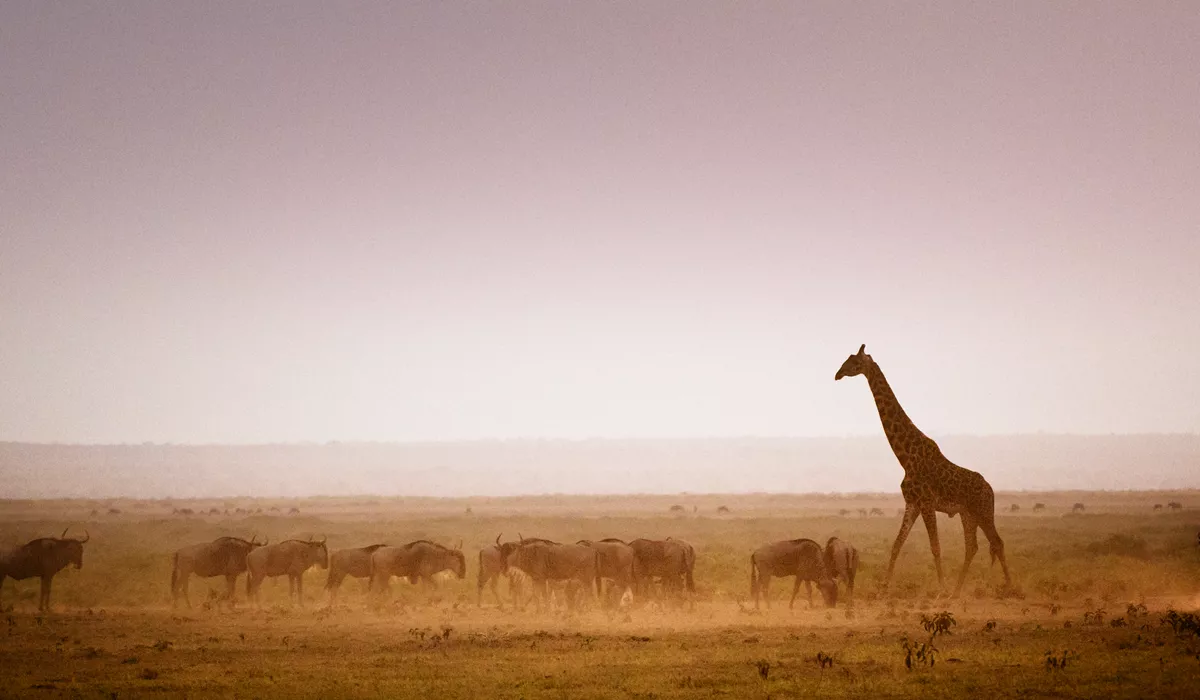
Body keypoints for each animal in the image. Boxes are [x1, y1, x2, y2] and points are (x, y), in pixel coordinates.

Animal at [834, 344, 1011, 596]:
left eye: (855, 363)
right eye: (846, 360)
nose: (837, 374)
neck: (905, 458)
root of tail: (991, 490)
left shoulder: (927, 502)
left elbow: (935, 547)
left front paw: (941, 588)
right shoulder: (912, 503)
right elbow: (897, 544)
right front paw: (884, 588)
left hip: (983, 511)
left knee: (996, 542)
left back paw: (1010, 587)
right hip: (968, 514)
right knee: (973, 546)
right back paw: (957, 591)